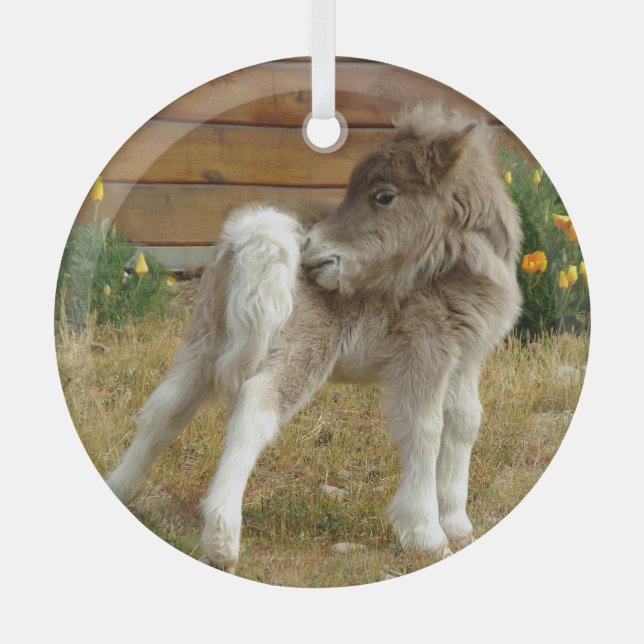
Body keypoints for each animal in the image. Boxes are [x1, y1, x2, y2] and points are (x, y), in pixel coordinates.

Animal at [107, 103, 522, 573]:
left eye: (383, 196)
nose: (313, 251)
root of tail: (253, 236)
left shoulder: (464, 356)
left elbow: (464, 422)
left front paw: (458, 525)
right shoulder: (423, 348)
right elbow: (425, 427)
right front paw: (426, 536)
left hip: (207, 338)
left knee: (167, 406)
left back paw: (121, 489)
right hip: (303, 345)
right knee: (256, 402)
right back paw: (222, 539)